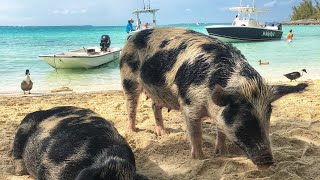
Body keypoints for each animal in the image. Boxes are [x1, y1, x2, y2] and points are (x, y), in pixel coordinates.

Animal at [120, 27, 308, 169]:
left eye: (268, 114)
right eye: (244, 116)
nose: (268, 161)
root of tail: (132, 36)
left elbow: (221, 131)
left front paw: (222, 153)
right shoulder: (188, 105)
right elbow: (195, 134)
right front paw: (199, 159)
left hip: (157, 92)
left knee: (154, 106)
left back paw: (162, 133)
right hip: (127, 78)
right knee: (131, 106)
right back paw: (132, 131)